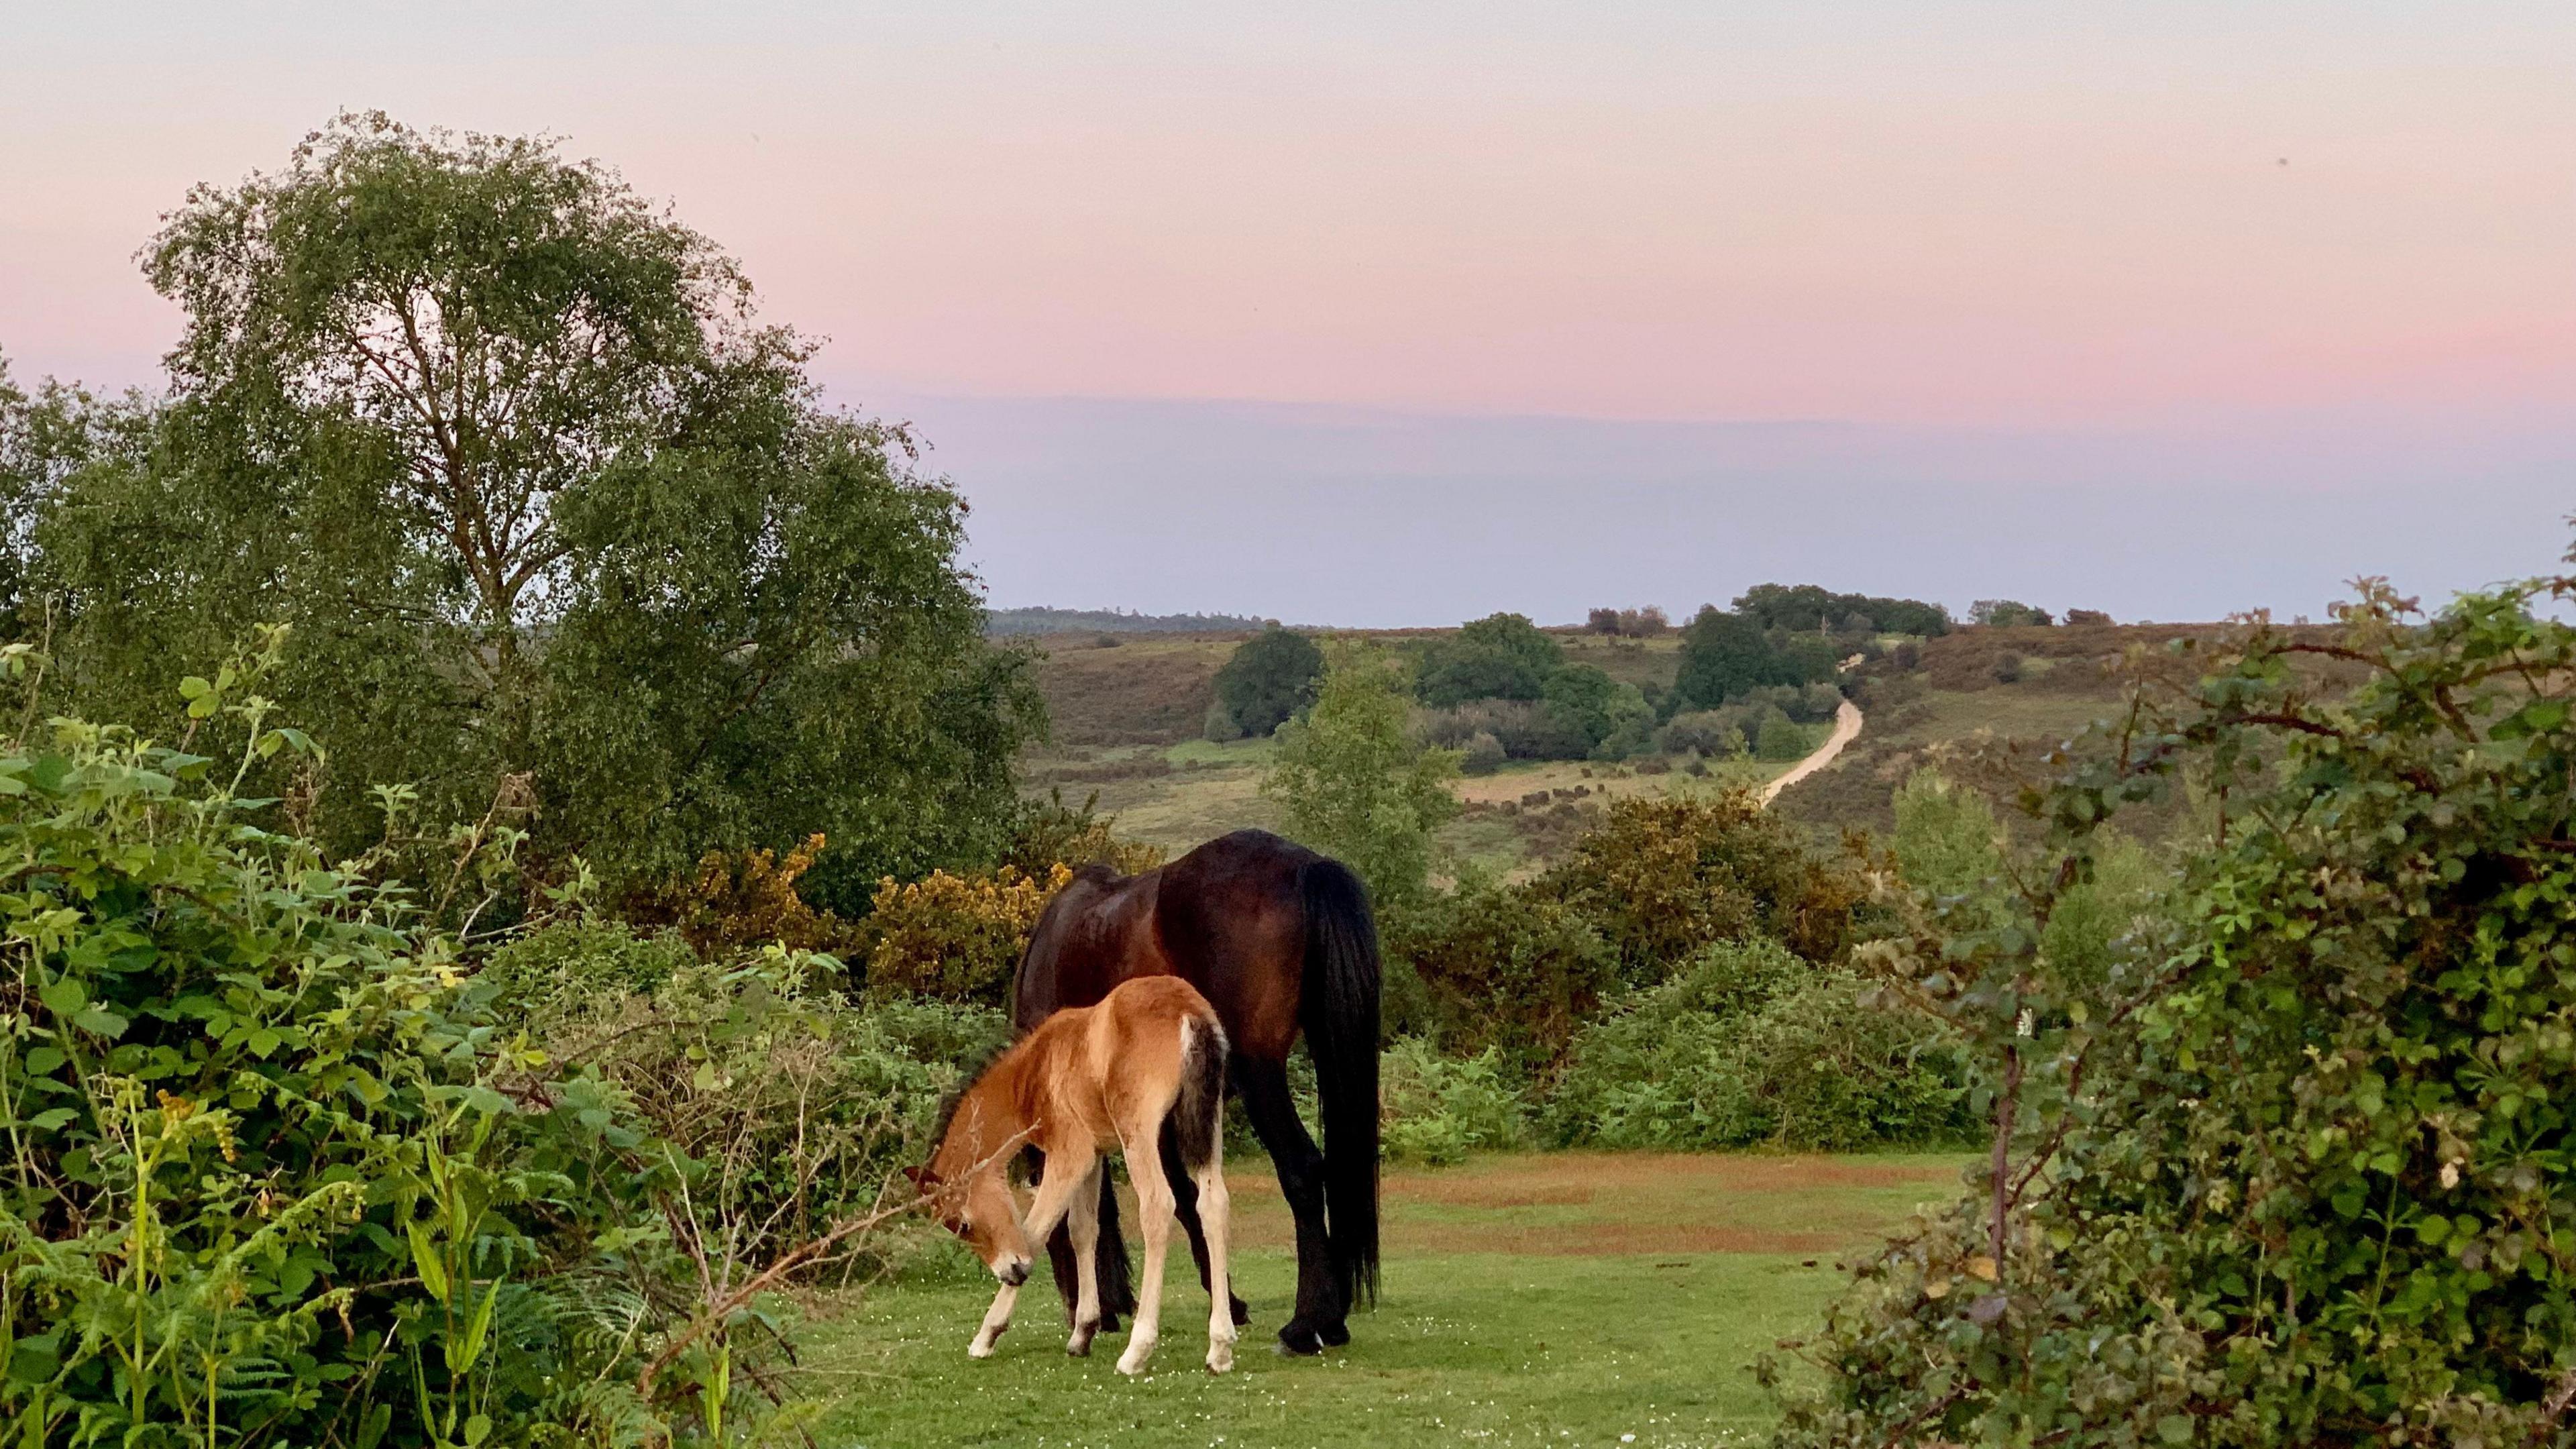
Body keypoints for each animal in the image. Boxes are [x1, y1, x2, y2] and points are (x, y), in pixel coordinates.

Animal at [1004, 830, 1381, 1350]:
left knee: (1302, 1169)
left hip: (1259, 1070)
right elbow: (1177, 1199)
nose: (1071, 1306)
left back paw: (1307, 1324)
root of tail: (1305, 864)